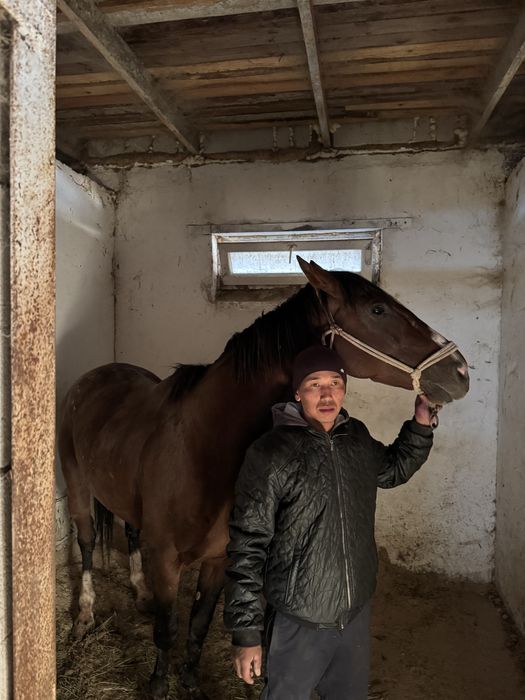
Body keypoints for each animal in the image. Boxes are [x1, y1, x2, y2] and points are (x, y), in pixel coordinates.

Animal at [58, 259, 469, 699]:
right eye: (377, 310)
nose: (461, 371)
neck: (201, 445)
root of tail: (96, 375)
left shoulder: (219, 559)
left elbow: (199, 624)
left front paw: (191, 682)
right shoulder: (166, 560)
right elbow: (167, 630)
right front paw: (157, 686)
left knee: (131, 534)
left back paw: (139, 591)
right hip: (77, 486)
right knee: (86, 543)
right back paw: (84, 615)